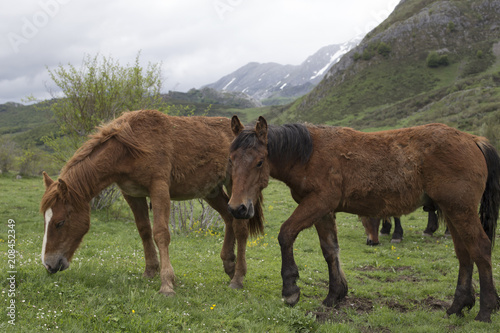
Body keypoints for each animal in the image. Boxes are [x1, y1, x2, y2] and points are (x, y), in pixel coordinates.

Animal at [39, 109, 264, 296]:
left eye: (60, 222)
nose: (48, 265)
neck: (130, 148)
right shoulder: (133, 194)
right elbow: (144, 230)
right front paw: (150, 271)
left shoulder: (159, 189)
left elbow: (161, 234)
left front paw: (167, 284)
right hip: (211, 191)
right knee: (228, 218)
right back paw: (229, 264)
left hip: (236, 188)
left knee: (240, 226)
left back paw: (238, 277)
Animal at [228, 115, 500, 320]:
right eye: (231, 160)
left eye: (260, 162)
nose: (237, 209)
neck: (309, 154)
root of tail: (473, 140)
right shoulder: (323, 211)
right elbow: (330, 251)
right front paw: (334, 295)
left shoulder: (318, 203)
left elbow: (286, 234)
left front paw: (291, 289)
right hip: (452, 211)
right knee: (464, 254)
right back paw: (458, 305)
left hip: (460, 210)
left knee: (480, 248)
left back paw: (486, 310)